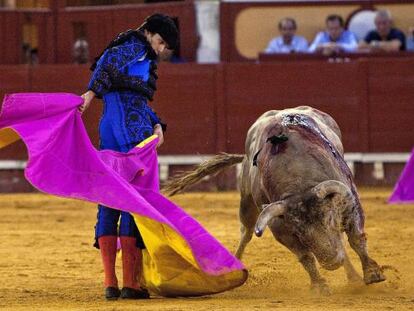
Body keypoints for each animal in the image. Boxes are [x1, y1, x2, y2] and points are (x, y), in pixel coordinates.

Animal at [164, 106, 384, 294]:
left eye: (330, 220)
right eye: (298, 232)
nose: (331, 262)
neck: (299, 179)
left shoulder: (350, 202)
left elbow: (356, 239)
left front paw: (372, 273)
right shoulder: (279, 227)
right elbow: (305, 256)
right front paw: (319, 286)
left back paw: (353, 276)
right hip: (246, 202)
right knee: (246, 233)